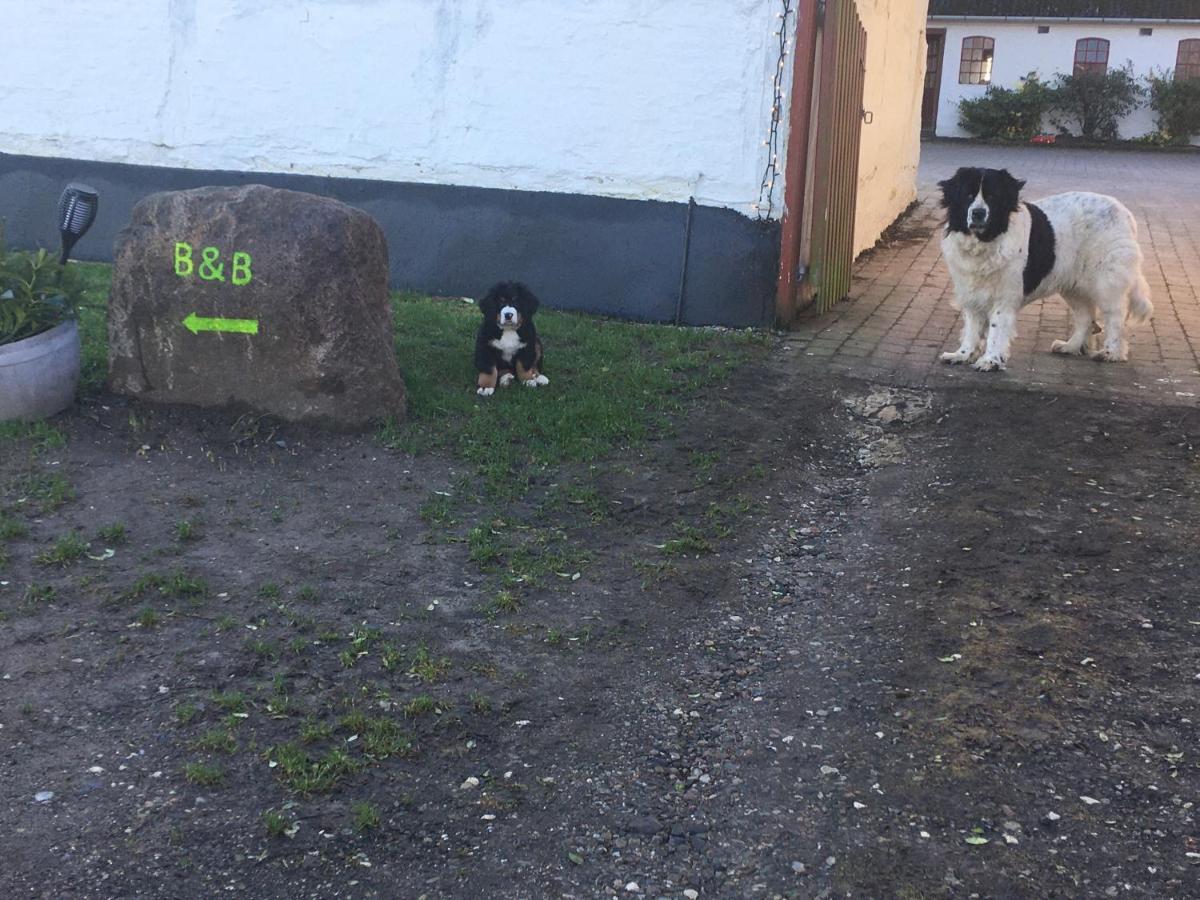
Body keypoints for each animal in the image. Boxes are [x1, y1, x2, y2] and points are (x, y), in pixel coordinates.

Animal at [936, 168, 1152, 372]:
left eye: (992, 197)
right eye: (967, 195)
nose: (978, 213)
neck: (985, 242)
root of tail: (1124, 213)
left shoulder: (1004, 296)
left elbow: (996, 330)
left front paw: (990, 361)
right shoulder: (971, 292)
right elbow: (971, 328)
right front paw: (963, 354)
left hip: (1107, 282)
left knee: (1115, 317)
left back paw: (1111, 353)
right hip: (1073, 285)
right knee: (1086, 317)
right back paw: (1070, 346)